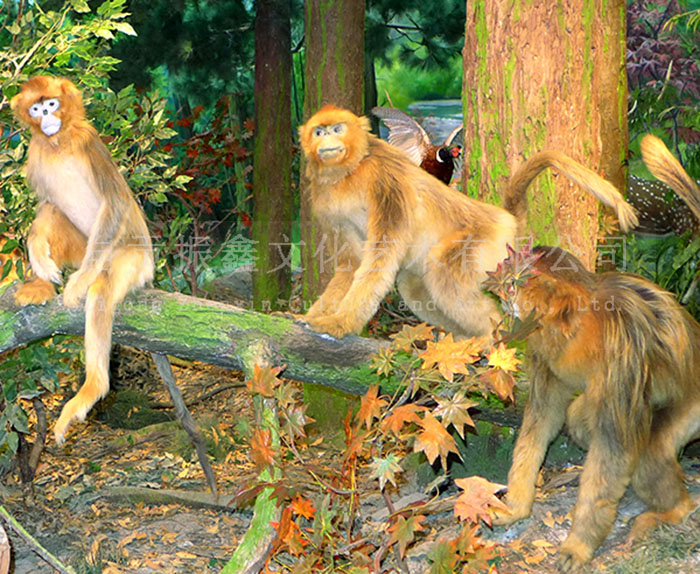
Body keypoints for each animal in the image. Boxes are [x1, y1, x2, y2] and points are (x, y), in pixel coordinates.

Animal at [10, 76, 154, 446]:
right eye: (36, 108)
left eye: (52, 105)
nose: (46, 117)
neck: (57, 144)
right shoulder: (35, 155)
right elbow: (45, 205)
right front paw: (39, 259)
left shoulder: (89, 142)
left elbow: (114, 203)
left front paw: (78, 284)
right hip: (80, 244)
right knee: (54, 214)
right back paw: (41, 282)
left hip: (129, 258)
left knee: (102, 287)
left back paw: (92, 387)